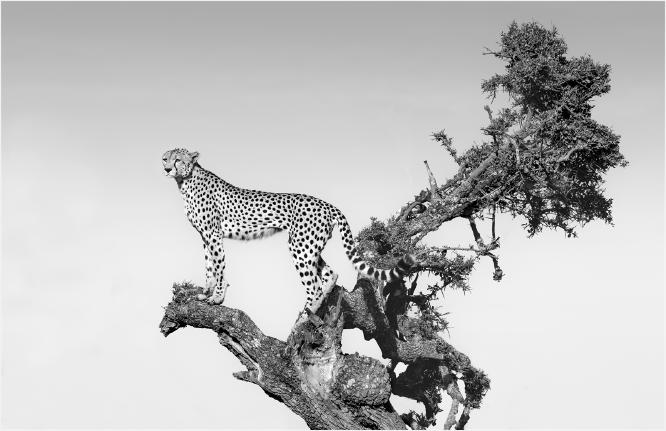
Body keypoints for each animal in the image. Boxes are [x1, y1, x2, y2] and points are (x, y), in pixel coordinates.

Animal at [162, 148, 415, 314]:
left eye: (177, 160)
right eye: (165, 158)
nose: (165, 168)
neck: (185, 180)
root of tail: (328, 204)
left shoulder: (214, 235)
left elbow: (219, 268)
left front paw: (217, 298)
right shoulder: (206, 237)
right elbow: (209, 268)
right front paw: (205, 293)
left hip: (300, 246)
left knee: (313, 285)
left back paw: (307, 316)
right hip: (308, 245)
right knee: (330, 273)